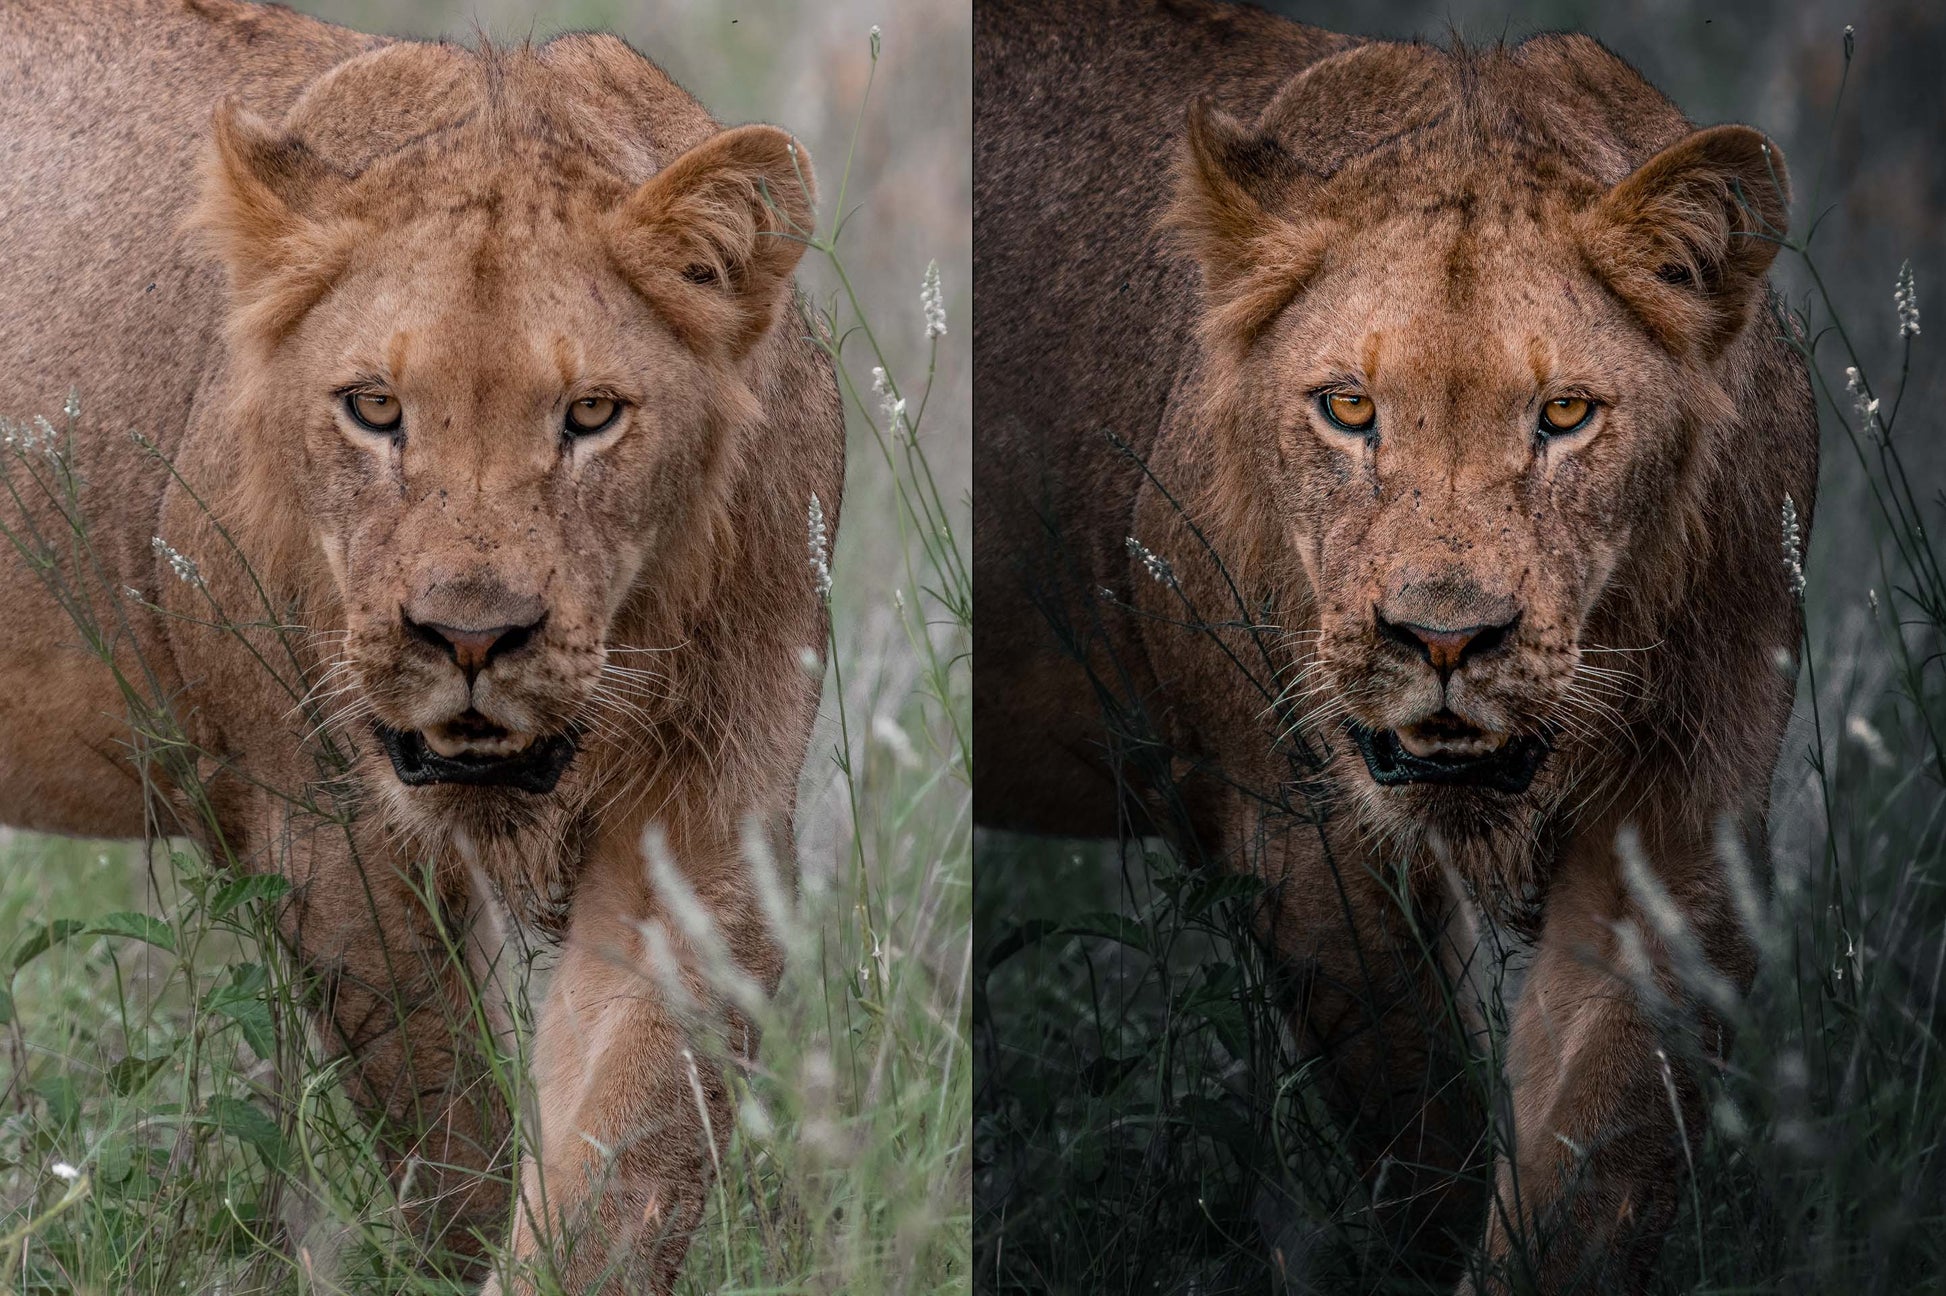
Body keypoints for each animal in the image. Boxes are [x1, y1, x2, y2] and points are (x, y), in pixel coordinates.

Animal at [0, 1, 841, 1291]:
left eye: (591, 415)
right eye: (374, 408)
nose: (471, 636)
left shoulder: (706, 827)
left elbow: (628, 1153)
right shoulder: (324, 822)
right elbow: (453, 1137)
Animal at [976, 0, 1815, 1290]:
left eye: (1563, 416)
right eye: (1347, 408)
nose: (1443, 638)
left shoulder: (1681, 829)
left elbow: (1596, 1163)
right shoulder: (1297, 827)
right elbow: (1429, 1136)